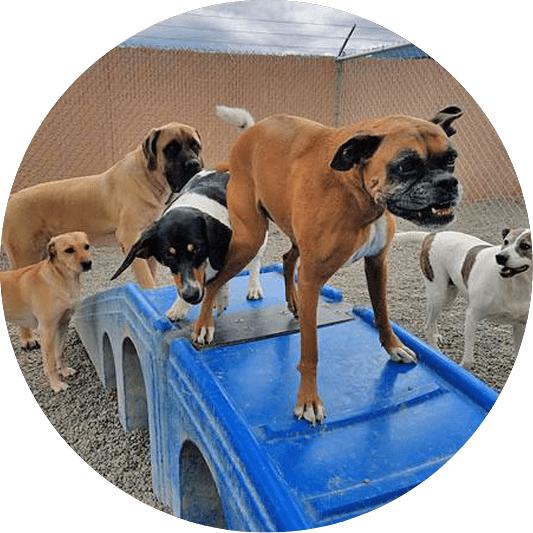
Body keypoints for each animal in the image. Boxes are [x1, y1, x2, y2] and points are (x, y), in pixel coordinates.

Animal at [0, 232, 92, 390]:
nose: (87, 263)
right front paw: (56, 384)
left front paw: (65, 371)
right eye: (69, 250)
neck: (61, 279)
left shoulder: (63, 324)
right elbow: (50, 362)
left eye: (86, 246)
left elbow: (59, 352)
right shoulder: (47, 329)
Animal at [2, 123, 202, 350]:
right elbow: (145, 278)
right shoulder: (130, 237)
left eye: (195, 146)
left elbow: (150, 275)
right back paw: (27, 338)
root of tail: (12, 198)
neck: (149, 177)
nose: (194, 164)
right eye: (171, 148)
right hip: (24, 256)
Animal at [192, 105, 462, 424]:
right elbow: (310, 351)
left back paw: (293, 303)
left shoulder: (377, 265)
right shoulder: (312, 278)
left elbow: (382, 313)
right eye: (407, 165)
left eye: (451, 159)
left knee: (287, 259)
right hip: (250, 239)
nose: (448, 183)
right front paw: (308, 400)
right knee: (215, 280)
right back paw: (204, 326)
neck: (358, 192)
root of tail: (248, 134)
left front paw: (394, 347)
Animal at [392, 227, 528, 368]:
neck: (515, 285)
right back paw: (435, 351)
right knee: (428, 325)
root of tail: (433, 235)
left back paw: (436, 335)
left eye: (525, 246)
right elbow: (468, 360)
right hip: (439, 293)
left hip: (446, 296)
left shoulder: (520, 325)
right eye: (506, 242)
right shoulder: (471, 316)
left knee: (430, 316)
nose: (500, 257)